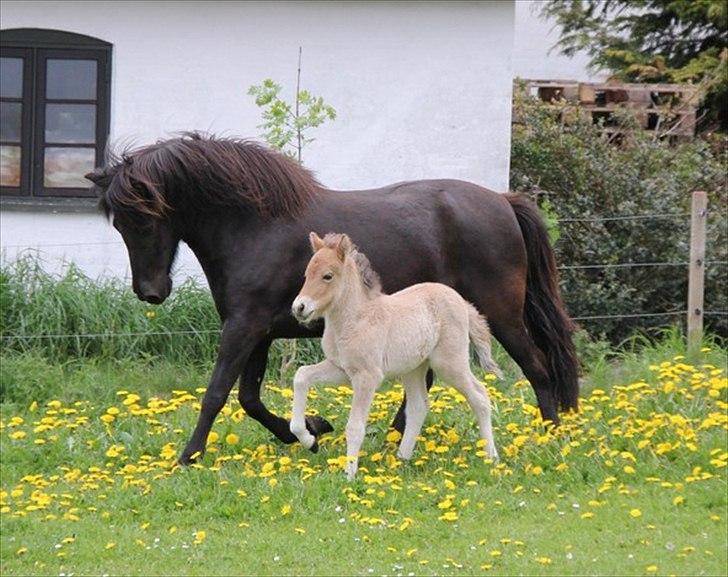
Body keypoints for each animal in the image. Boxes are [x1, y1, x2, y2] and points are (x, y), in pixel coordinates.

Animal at [290, 232, 500, 480]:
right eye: (306, 275)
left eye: (327, 276)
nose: (299, 307)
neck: (355, 319)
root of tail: (461, 301)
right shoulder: (341, 369)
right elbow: (301, 375)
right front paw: (308, 440)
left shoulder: (367, 376)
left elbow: (355, 426)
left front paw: (349, 474)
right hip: (414, 369)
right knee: (419, 406)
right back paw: (401, 460)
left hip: (449, 363)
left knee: (480, 396)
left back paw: (491, 456)